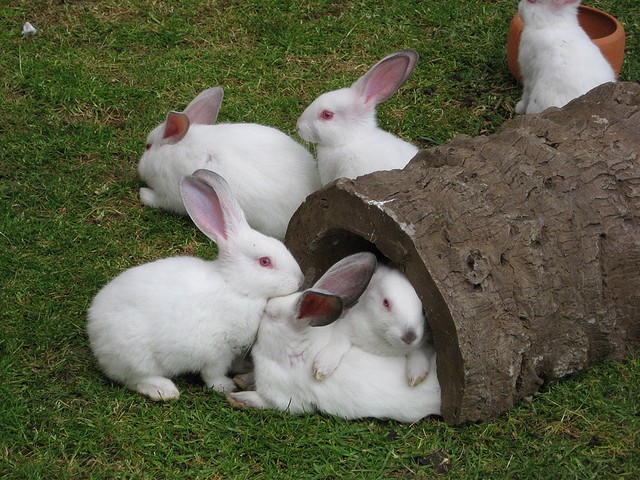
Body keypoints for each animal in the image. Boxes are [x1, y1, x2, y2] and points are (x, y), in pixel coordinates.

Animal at [87, 169, 304, 402]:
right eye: (265, 262)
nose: (299, 280)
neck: (235, 286)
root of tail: (94, 331)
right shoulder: (218, 350)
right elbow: (213, 373)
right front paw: (226, 386)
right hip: (137, 356)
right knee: (134, 379)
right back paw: (164, 390)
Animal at [139, 86, 320, 240]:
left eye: (148, 147)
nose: (138, 169)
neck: (170, 152)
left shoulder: (169, 194)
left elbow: (158, 200)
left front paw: (143, 194)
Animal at [228, 253, 442, 422]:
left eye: (270, 314)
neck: (296, 349)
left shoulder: (284, 398)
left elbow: (264, 401)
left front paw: (238, 398)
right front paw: (241, 380)